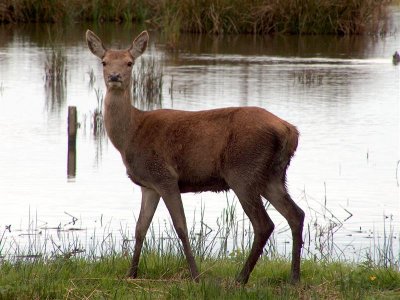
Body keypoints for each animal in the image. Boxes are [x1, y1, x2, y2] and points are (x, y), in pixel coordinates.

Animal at [84, 29, 304, 284]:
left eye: (130, 62)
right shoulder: (148, 185)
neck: (131, 134)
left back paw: (241, 278)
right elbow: (140, 228)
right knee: (296, 214)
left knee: (264, 224)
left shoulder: (165, 177)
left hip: (243, 171)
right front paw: (131, 274)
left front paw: (196, 276)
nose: (115, 76)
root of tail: (290, 131)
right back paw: (294, 278)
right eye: (104, 61)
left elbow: (181, 227)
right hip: (272, 175)